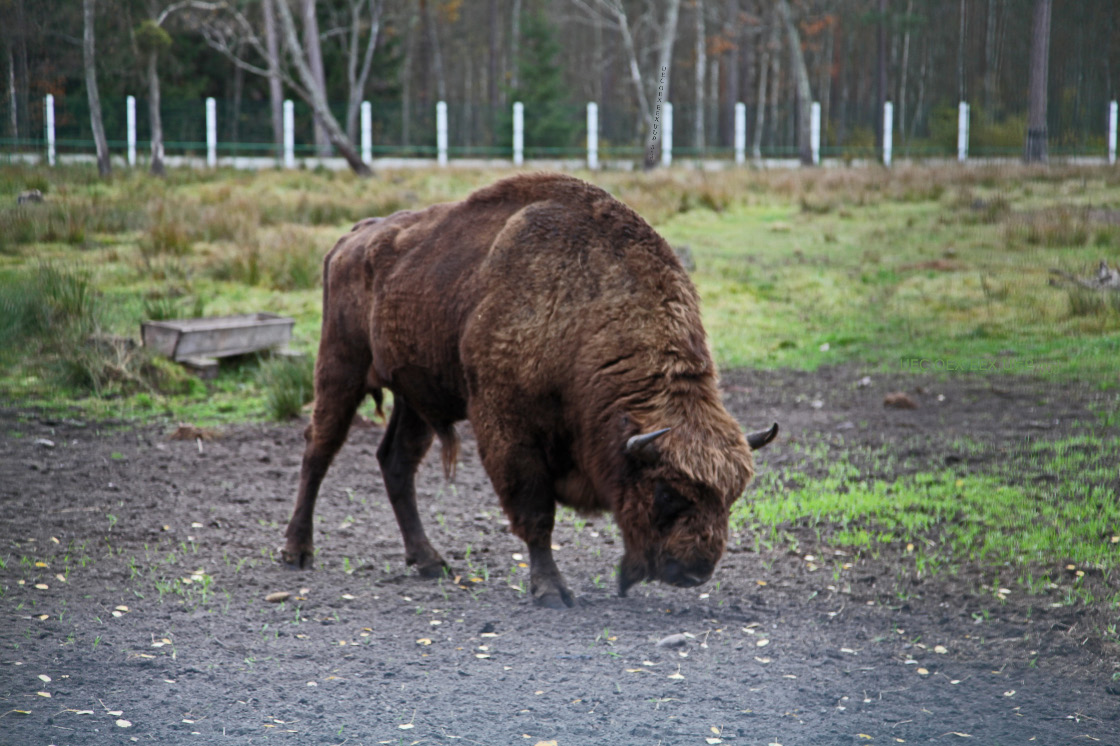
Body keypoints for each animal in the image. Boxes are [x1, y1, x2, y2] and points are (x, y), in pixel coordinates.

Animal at [284, 172, 779, 604]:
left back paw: (429, 562)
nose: (695, 572)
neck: (587, 312)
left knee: (396, 463)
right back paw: (297, 552)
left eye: (731, 498)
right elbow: (536, 512)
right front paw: (552, 592)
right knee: (318, 450)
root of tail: (353, 238)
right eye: (667, 493)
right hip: (340, 369)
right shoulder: (509, 429)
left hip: (416, 398)